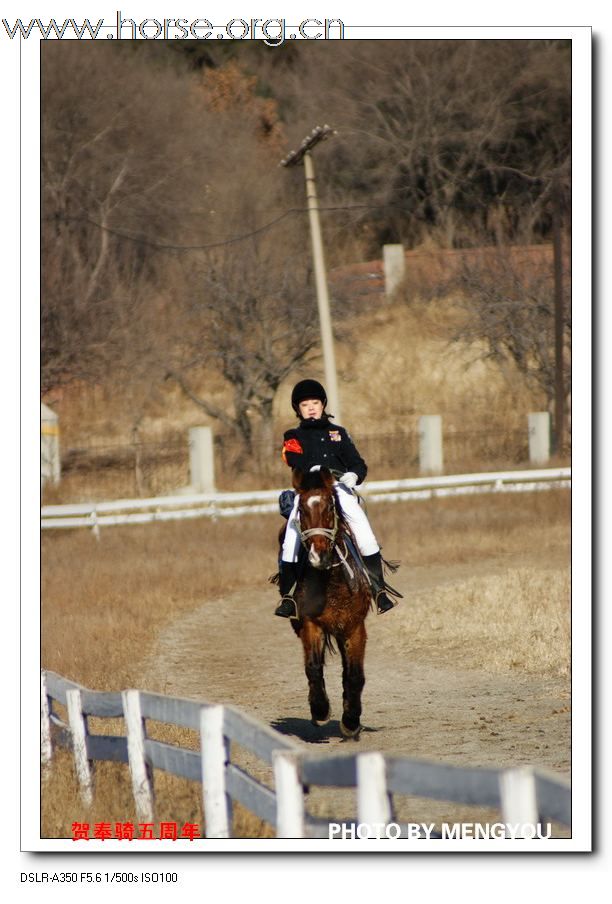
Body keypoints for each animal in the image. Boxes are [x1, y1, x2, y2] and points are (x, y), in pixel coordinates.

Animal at [278, 470, 372, 740]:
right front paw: (320, 710)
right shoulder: (311, 625)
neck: (332, 581)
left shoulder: (354, 628)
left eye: (330, 507)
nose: (317, 556)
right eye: (301, 511)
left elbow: (355, 675)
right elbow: (313, 668)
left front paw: (351, 721)